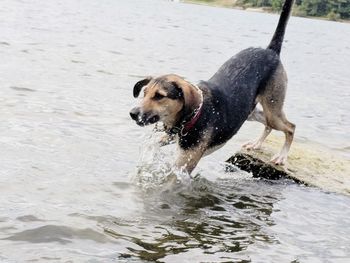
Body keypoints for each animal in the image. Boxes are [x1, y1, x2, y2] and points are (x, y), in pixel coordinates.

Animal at [131, 1, 296, 176]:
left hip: (273, 108)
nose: (132, 113)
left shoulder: (183, 166)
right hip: (250, 113)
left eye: (159, 96)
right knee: (268, 125)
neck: (194, 115)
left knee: (290, 127)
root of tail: (271, 51)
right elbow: (153, 144)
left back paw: (281, 156)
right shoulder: (170, 136)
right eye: (144, 93)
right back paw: (256, 144)